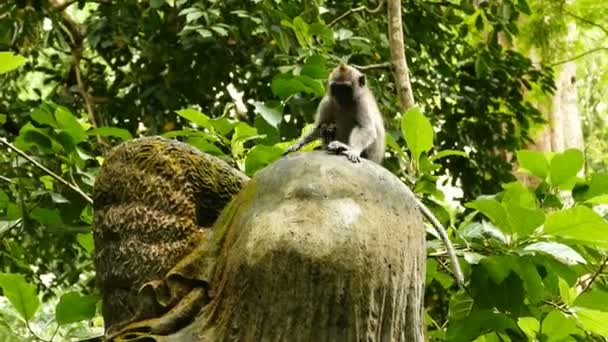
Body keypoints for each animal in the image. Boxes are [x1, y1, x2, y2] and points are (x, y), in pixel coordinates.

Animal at [282, 63, 464, 286]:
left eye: (346, 89)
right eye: (336, 89)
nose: (341, 98)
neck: (345, 104)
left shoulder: (361, 105)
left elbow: (367, 129)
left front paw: (351, 149)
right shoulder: (328, 102)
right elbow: (317, 126)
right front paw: (298, 144)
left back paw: (340, 146)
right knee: (329, 124)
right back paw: (329, 139)